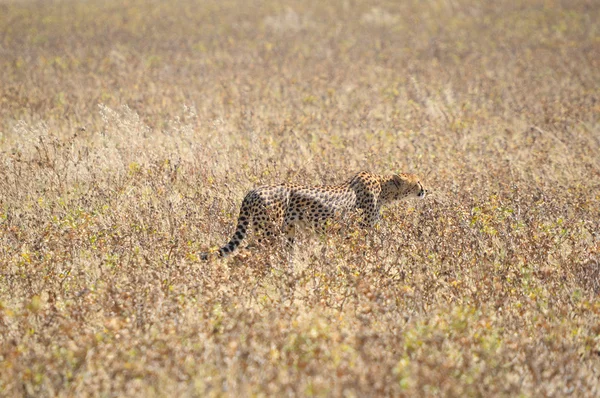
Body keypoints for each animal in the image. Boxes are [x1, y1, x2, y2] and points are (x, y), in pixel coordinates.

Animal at [202, 172, 426, 262]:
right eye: (418, 182)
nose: (426, 190)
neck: (384, 188)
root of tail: (252, 191)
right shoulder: (361, 231)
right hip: (269, 233)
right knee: (247, 253)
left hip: (285, 233)